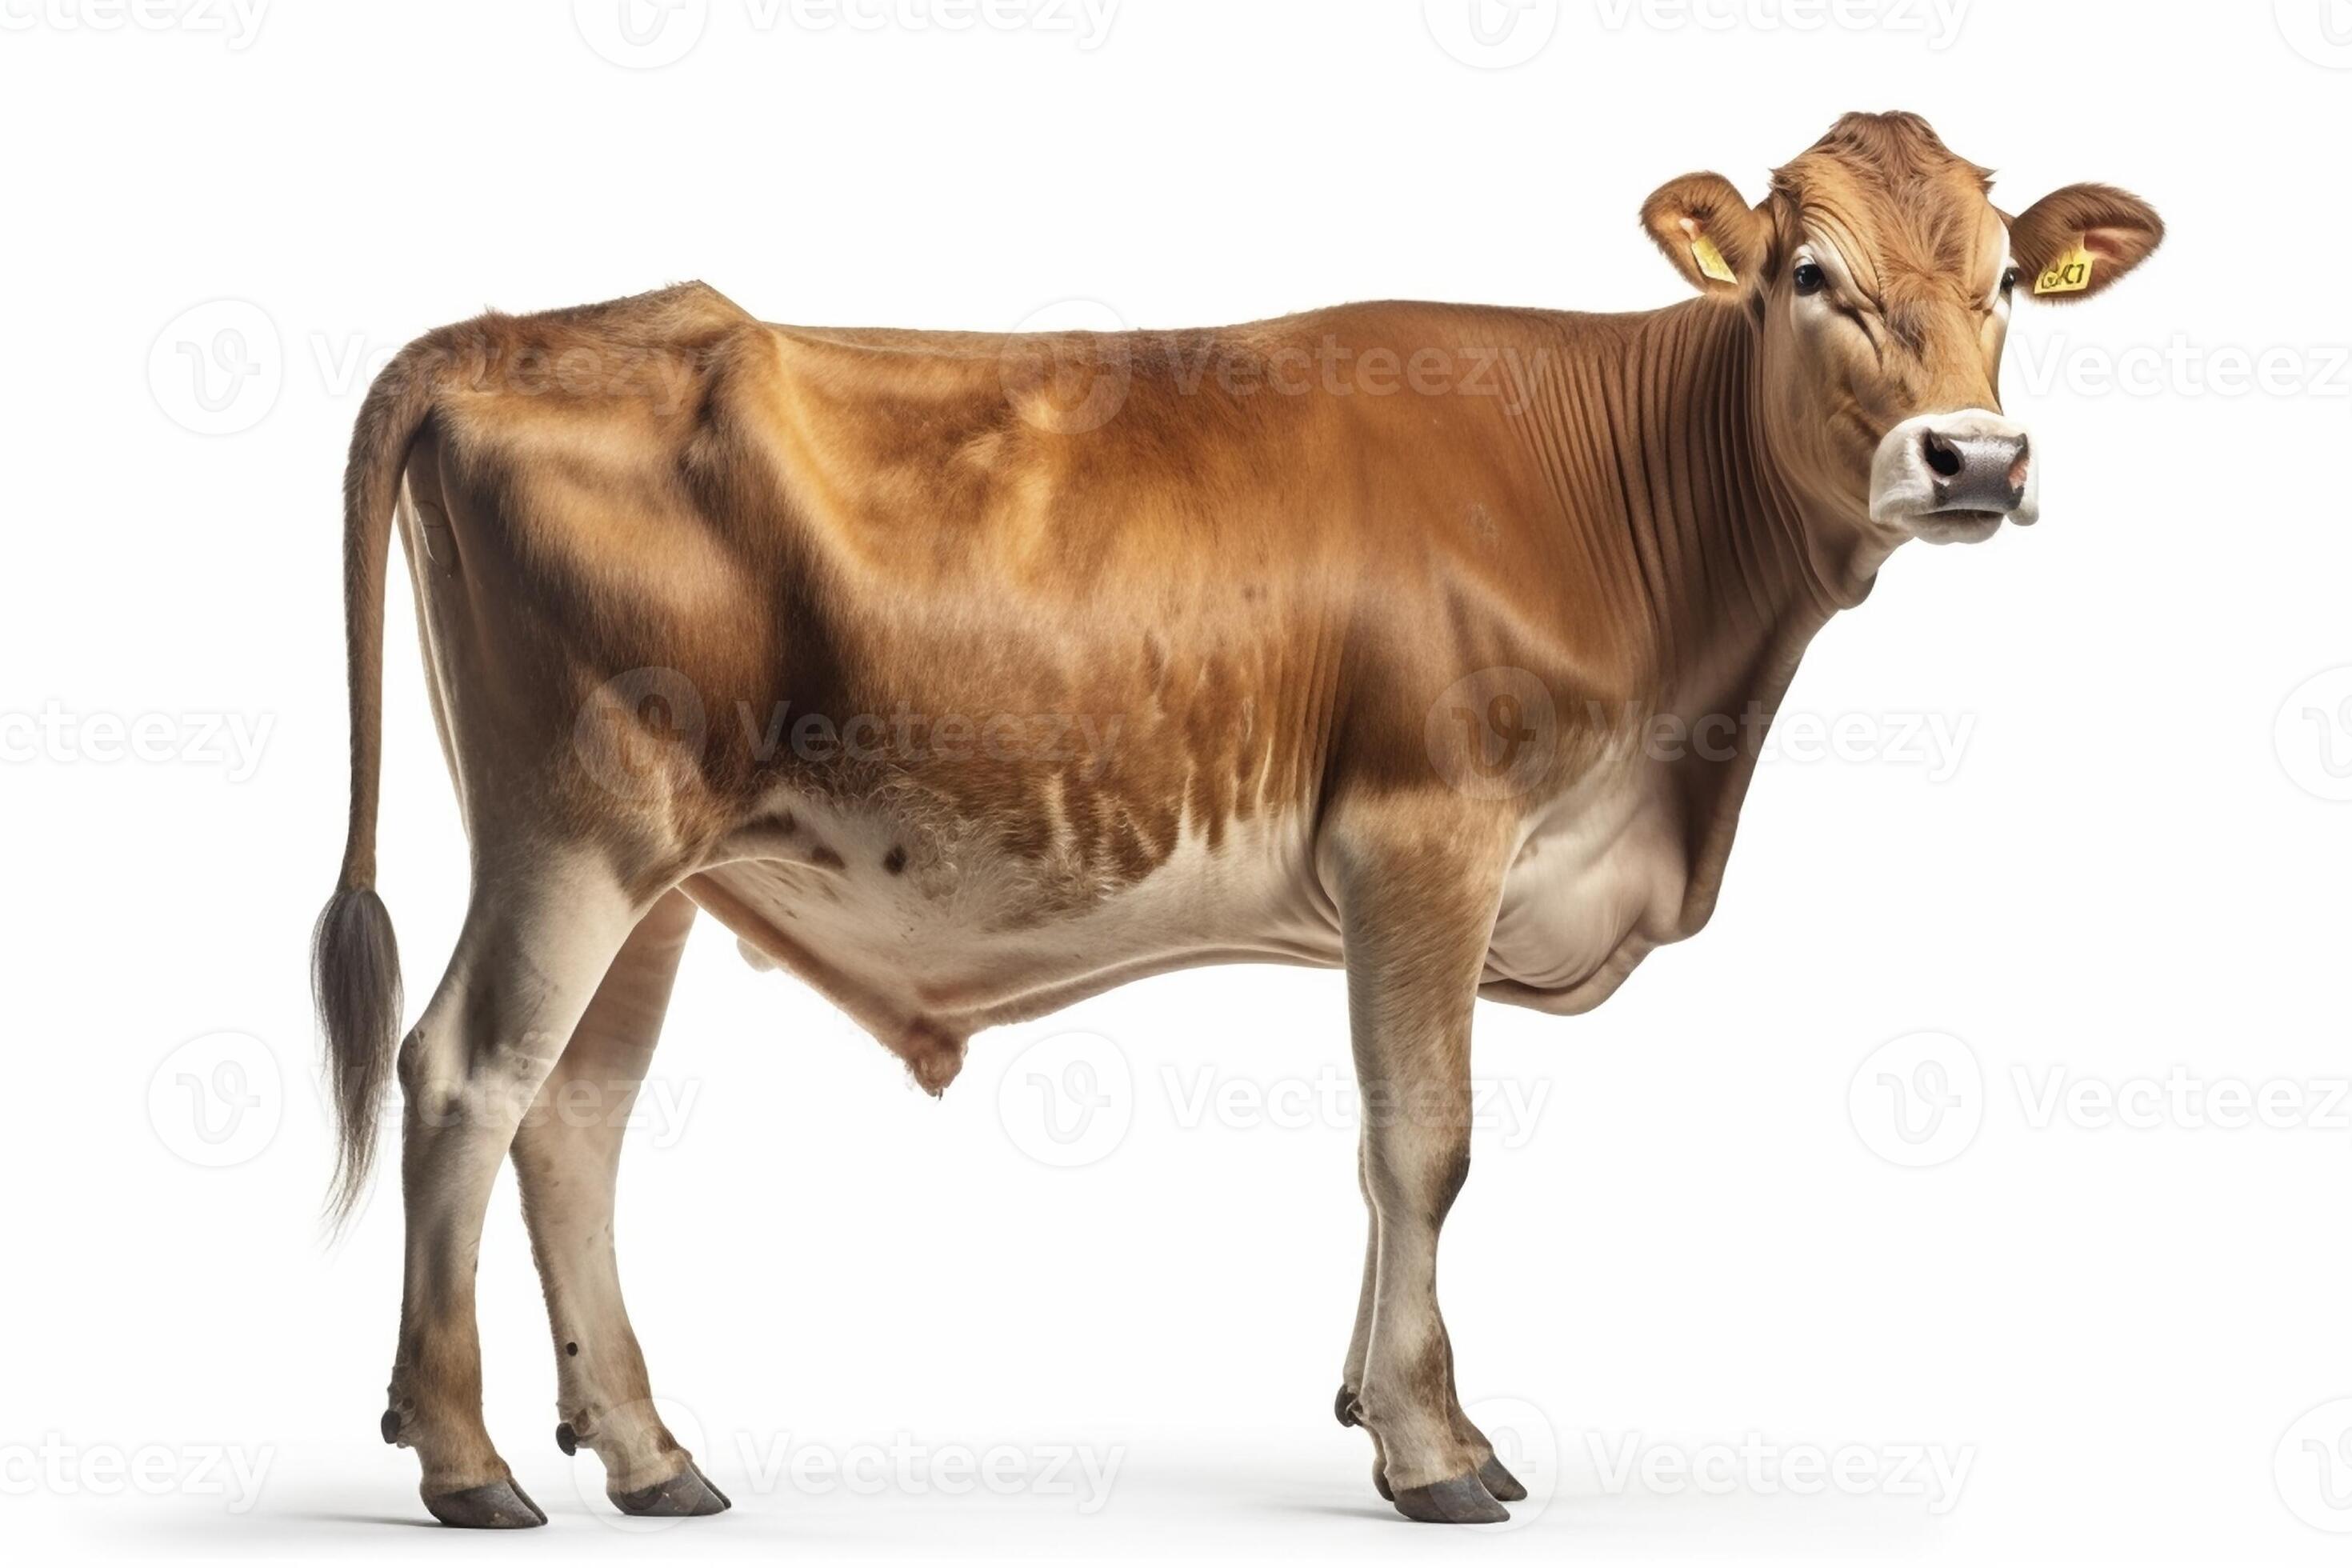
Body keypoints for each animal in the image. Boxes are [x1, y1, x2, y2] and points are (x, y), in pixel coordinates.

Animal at [314, 111, 2161, 1528]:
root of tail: (516, 328)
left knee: (574, 1115)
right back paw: (466, 1461)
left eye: (2007, 278)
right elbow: (1426, 1141)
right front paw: (1434, 1451)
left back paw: (645, 1454)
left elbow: (1382, 1153)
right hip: (581, 824)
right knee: (465, 1071)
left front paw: (1382, 1410)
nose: (1973, 458)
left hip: (657, 865)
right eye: (1810, 274)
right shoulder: (1426, 830)